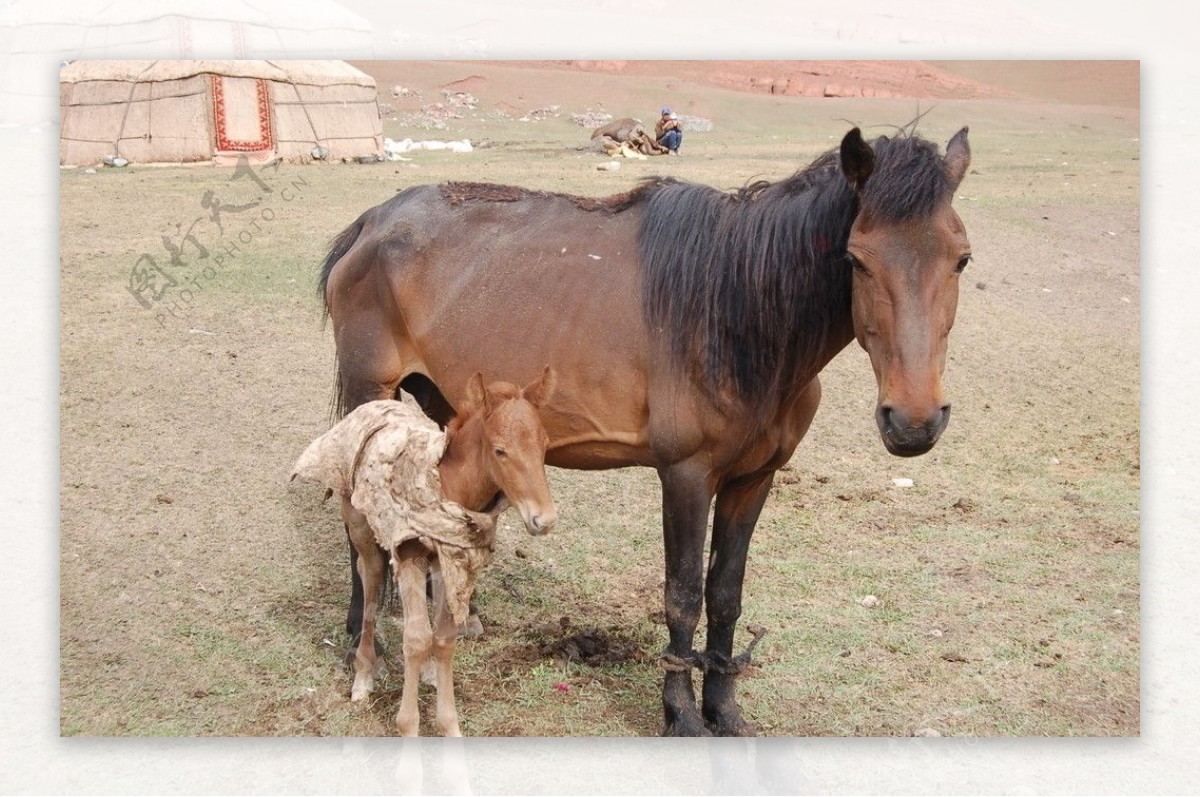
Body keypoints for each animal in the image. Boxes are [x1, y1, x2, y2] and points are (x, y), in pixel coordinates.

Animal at [290, 367, 556, 734]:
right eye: (500, 450)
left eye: (545, 445)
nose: (544, 519)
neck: (445, 484)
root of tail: (370, 406)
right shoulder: (409, 558)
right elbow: (416, 639)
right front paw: (409, 727)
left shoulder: (451, 560)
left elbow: (443, 638)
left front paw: (449, 725)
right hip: (362, 530)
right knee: (369, 583)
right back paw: (363, 676)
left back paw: (426, 672)